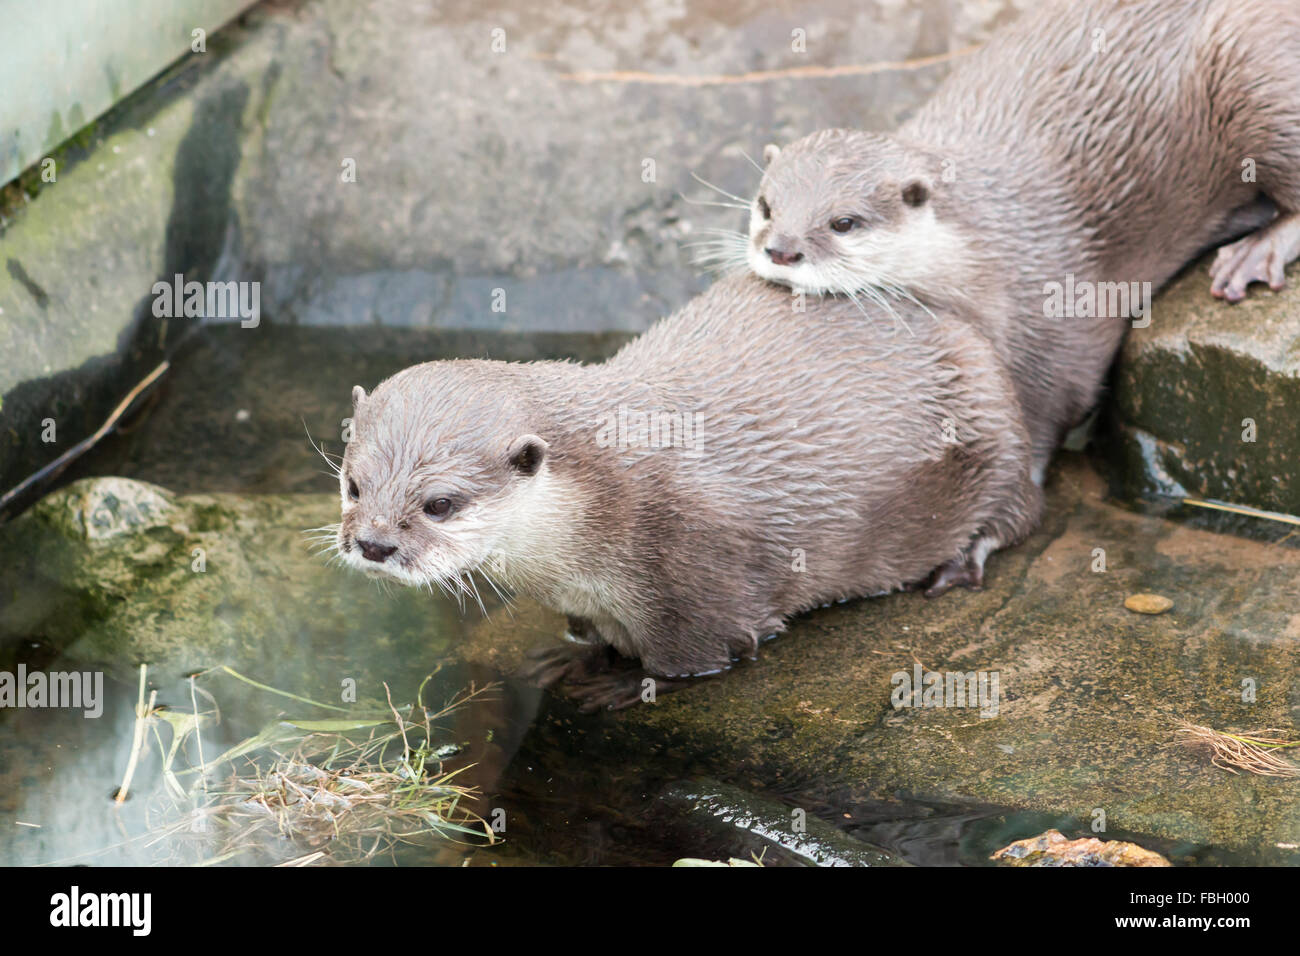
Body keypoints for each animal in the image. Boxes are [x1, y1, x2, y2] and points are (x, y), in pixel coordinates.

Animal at [334, 274, 1042, 711]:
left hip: (996, 436)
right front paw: (565, 657)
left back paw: (959, 563)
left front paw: (621, 686)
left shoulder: (696, 566)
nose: (372, 544)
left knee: (1019, 512)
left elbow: (699, 656)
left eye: (440, 503)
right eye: (353, 483)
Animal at [726, 0, 1300, 474]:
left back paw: (1255, 252)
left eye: (843, 222)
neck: (992, 247)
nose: (781, 250)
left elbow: (1052, 404)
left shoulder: (1056, 308)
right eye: (766, 205)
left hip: (1255, 69)